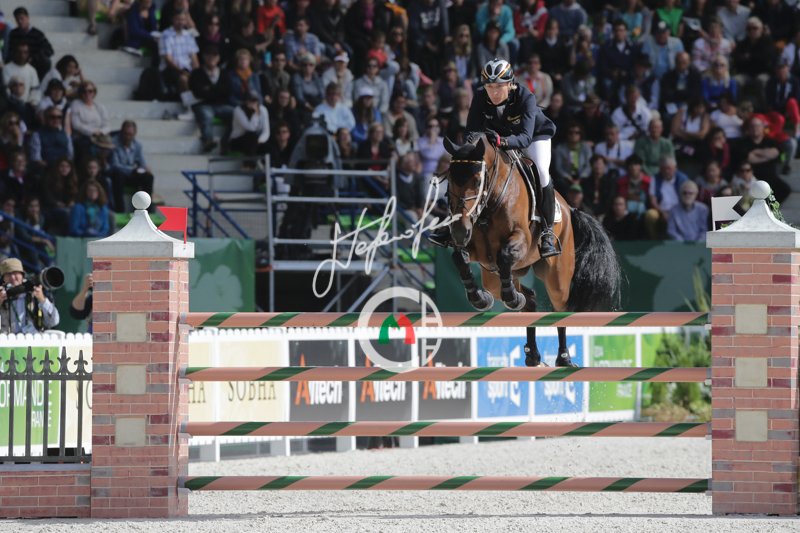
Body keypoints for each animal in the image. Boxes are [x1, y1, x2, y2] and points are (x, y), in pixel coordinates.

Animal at [441, 134, 622, 367]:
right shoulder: (478, 251)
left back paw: (563, 359)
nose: (459, 231)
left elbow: (505, 255)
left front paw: (511, 298)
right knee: (529, 299)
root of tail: (569, 209)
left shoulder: (521, 240)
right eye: (450, 179)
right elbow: (459, 257)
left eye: (478, 180)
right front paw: (480, 298)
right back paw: (532, 354)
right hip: (494, 278)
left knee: (560, 310)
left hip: (557, 278)